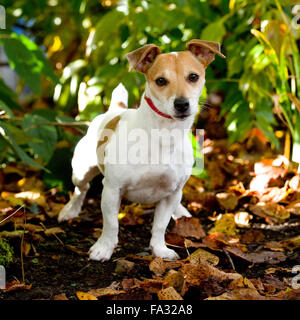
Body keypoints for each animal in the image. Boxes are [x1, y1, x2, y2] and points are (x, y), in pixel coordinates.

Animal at [58, 38, 225, 262]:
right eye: (161, 81)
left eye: (193, 77)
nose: (182, 104)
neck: (163, 135)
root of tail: (115, 109)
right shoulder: (112, 190)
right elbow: (111, 225)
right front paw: (104, 248)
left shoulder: (171, 194)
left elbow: (160, 226)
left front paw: (160, 250)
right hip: (81, 172)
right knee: (80, 190)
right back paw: (70, 211)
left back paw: (180, 212)